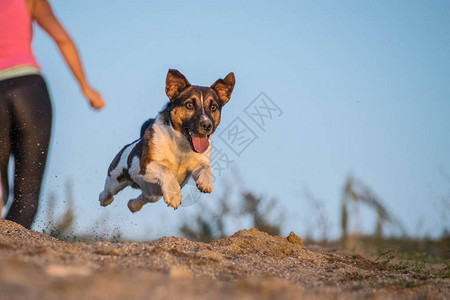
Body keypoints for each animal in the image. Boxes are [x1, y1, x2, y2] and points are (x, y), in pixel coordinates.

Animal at [99, 69, 236, 212]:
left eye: (213, 107)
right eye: (189, 105)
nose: (207, 125)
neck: (182, 145)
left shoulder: (197, 164)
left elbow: (206, 166)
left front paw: (206, 182)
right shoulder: (146, 164)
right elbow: (165, 169)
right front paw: (174, 196)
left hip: (153, 194)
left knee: (144, 197)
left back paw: (133, 206)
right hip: (115, 178)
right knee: (108, 191)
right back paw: (105, 200)